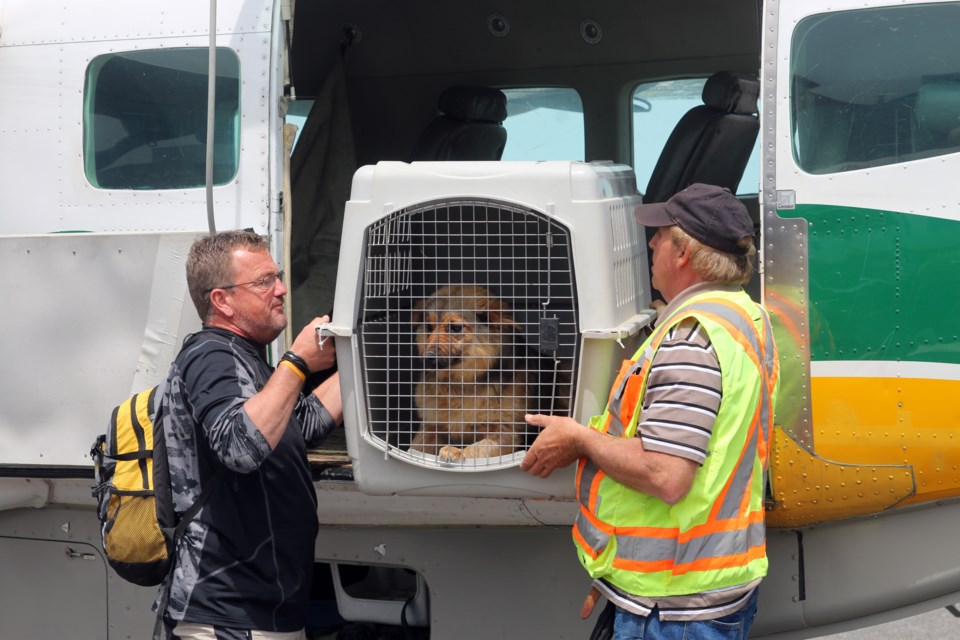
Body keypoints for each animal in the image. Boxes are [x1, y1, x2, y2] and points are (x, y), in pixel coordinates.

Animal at [406, 284, 528, 460]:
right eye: (429, 327)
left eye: (455, 328)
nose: (427, 358)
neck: (459, 384)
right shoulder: (430, 427)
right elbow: (416, 447)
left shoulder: (505, 432)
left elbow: (478, 447)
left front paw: (457, 451)